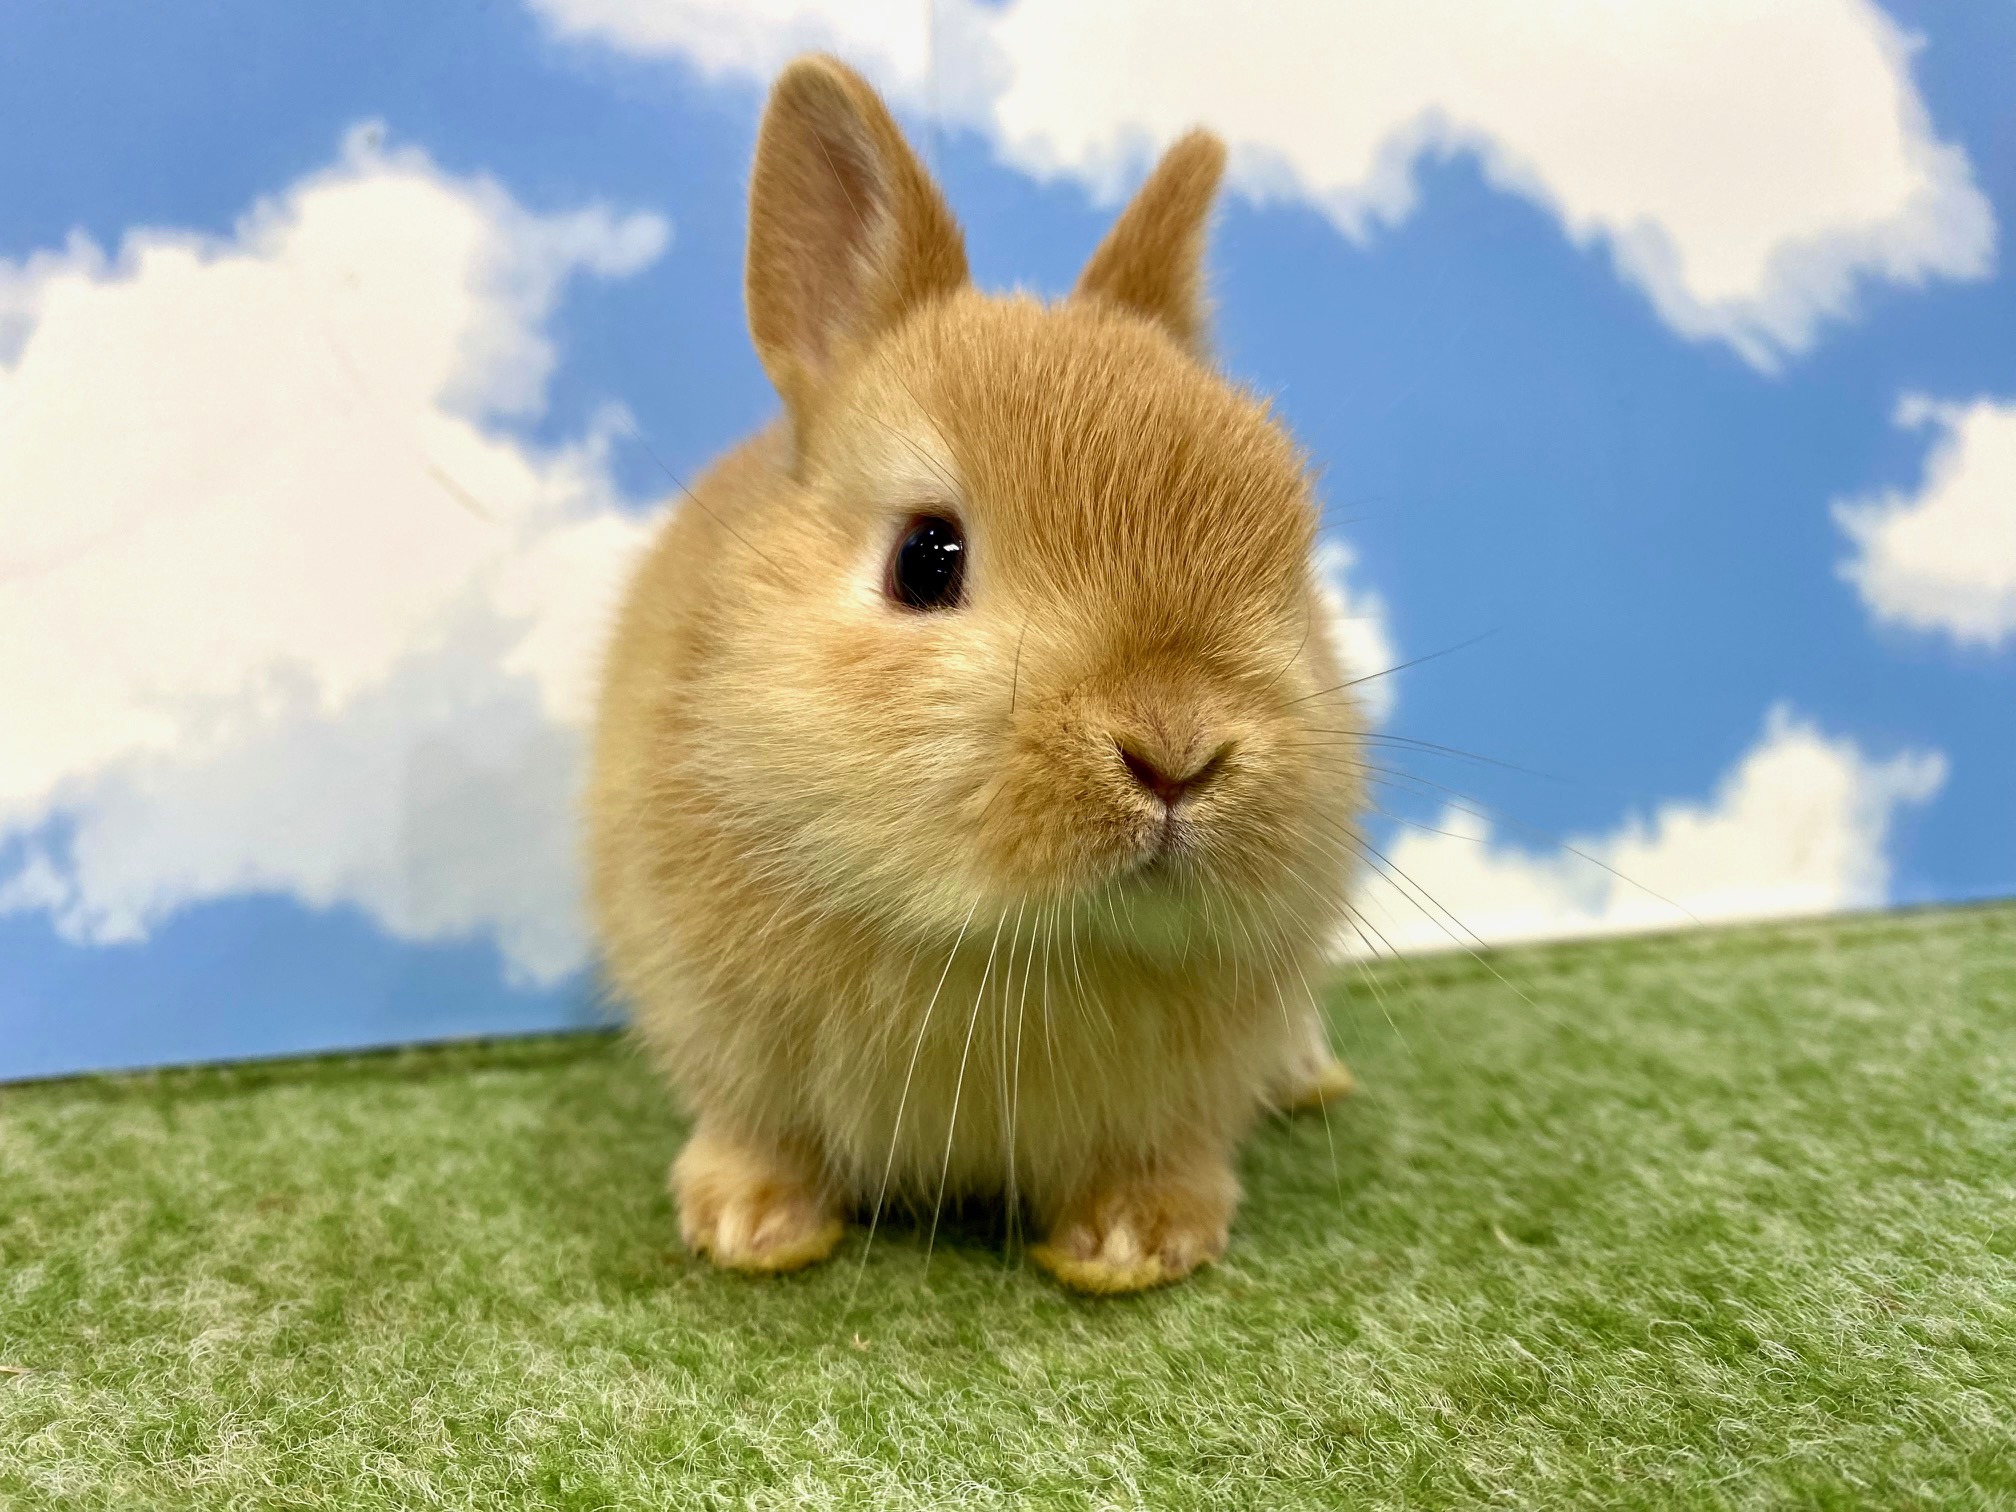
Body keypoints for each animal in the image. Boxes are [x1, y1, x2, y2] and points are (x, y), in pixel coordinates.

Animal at [586, 53, 1364, 1295]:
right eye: (925, 557)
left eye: (1289, 562)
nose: (1176, 752)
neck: (1016, 952)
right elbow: (756, 1128)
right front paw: (752, 1225)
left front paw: (1141, 1241)